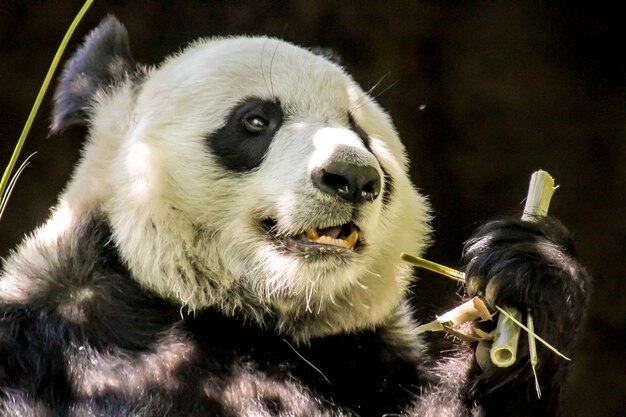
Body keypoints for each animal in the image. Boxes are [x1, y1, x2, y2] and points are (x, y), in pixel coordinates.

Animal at [0, 16, 588, 416]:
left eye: (362, 133)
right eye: (256, 120)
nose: (353, 177)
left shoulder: (363, 364)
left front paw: (529, 282)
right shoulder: (53, 343)